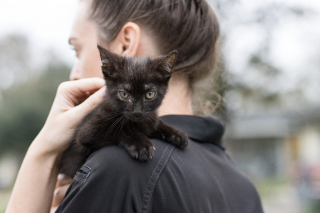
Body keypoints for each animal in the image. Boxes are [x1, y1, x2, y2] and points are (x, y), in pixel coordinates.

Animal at [60, 45, 188, 177]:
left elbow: (154, 122)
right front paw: (141, 145)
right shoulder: (86, 133)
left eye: (150, 94)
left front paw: (176, 134)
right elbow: (120, 130)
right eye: (124, 94)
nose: (137, 112)